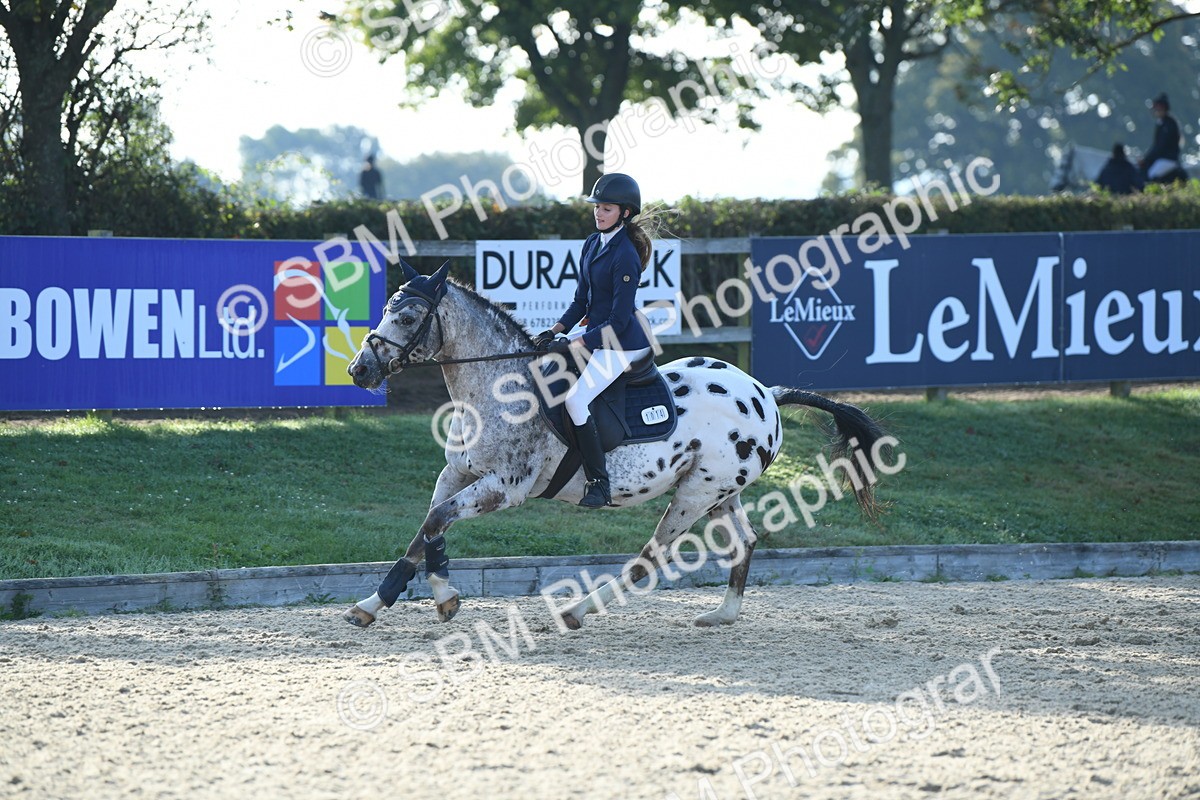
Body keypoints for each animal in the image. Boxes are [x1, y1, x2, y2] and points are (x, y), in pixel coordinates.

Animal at [342, 259, 889, 630]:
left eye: (407, 317)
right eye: (388, 309)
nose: (359, 370)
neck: (499, 387)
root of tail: (765, 394)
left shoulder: (505, 487)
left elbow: (436, 521)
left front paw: (440, 595)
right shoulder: (458, 472)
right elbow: (426, 529)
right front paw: (379, 603)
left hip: (695, 495)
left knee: (649, 559)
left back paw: (576, 611)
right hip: (719, 492)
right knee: (745, 540)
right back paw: (723, 615)